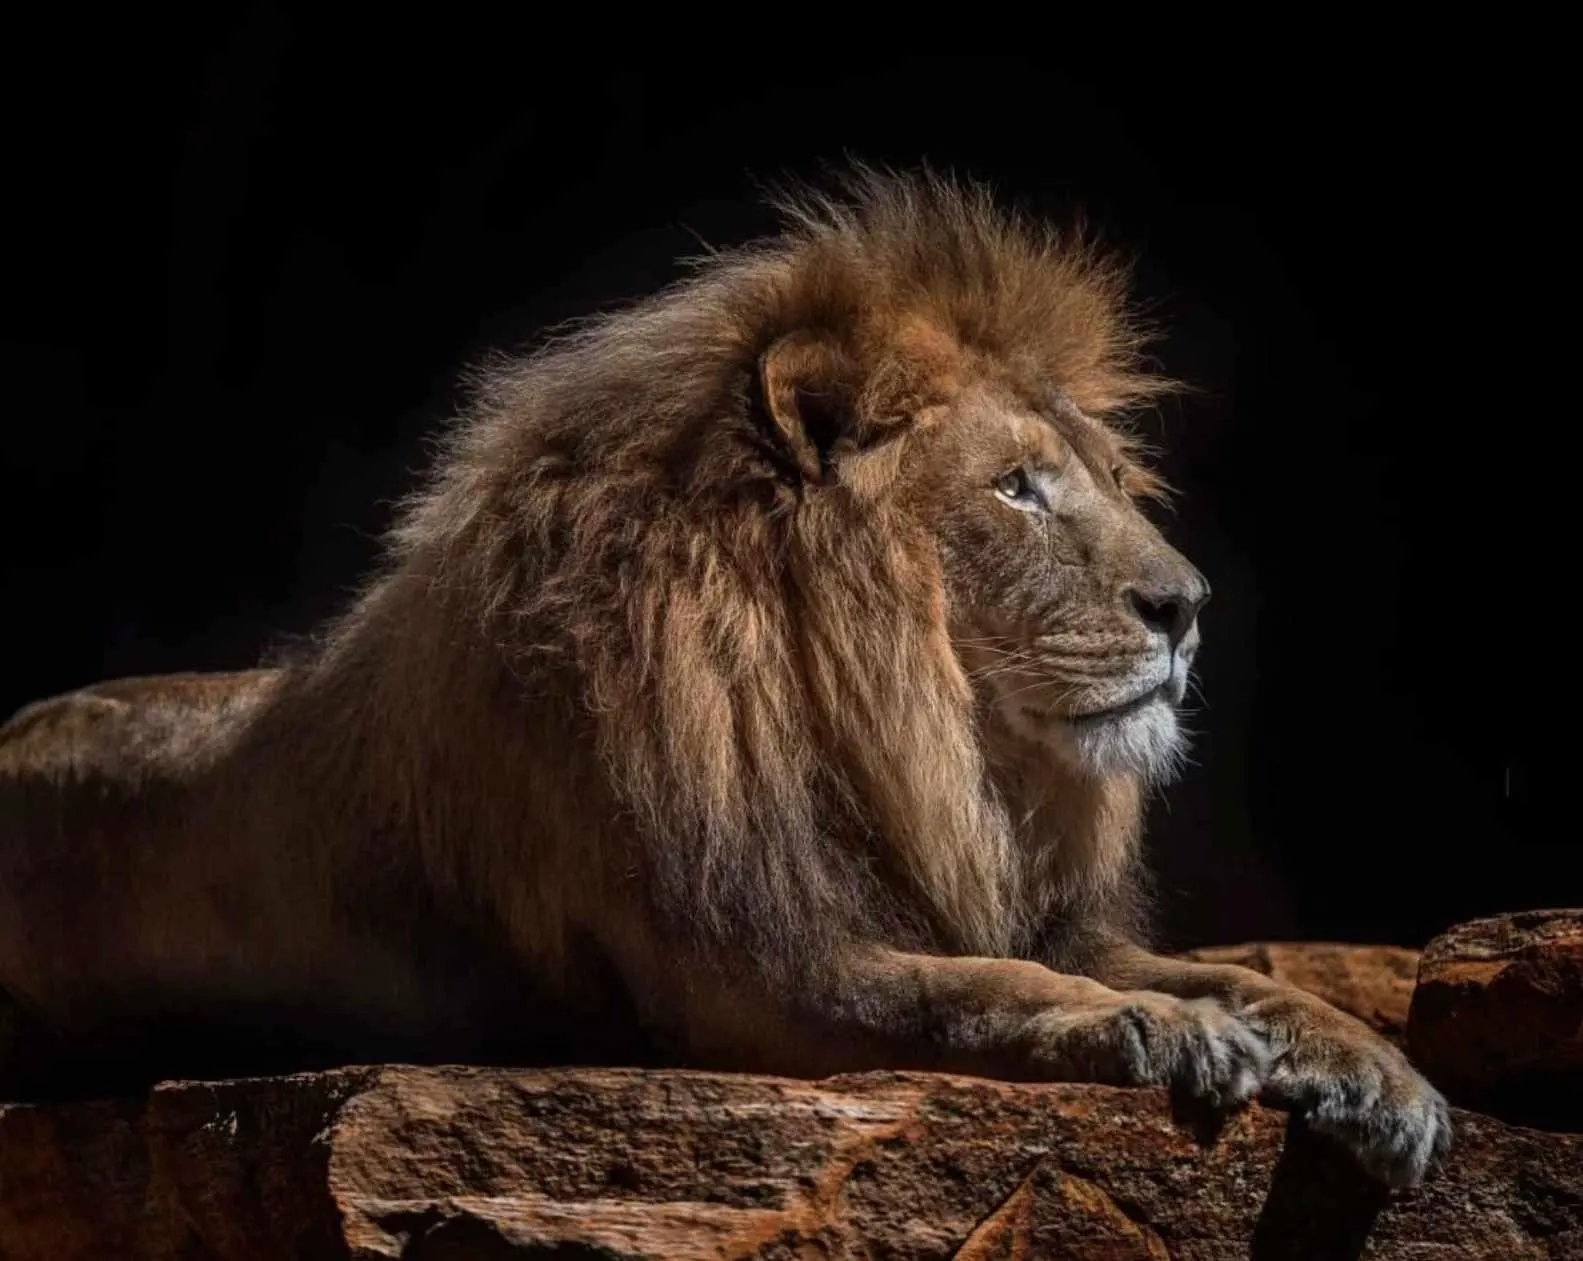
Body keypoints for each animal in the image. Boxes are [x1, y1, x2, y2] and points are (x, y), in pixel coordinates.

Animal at [0, 167, 1448, 1185]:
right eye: (1015, 488)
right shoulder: (749, 973)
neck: (912, 740)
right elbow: (972, 994)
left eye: (1096, 475)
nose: (1187, 608)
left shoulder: (1030, 911)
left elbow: (1245, 978)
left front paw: (1378, 1076)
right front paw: (1154, 1032)